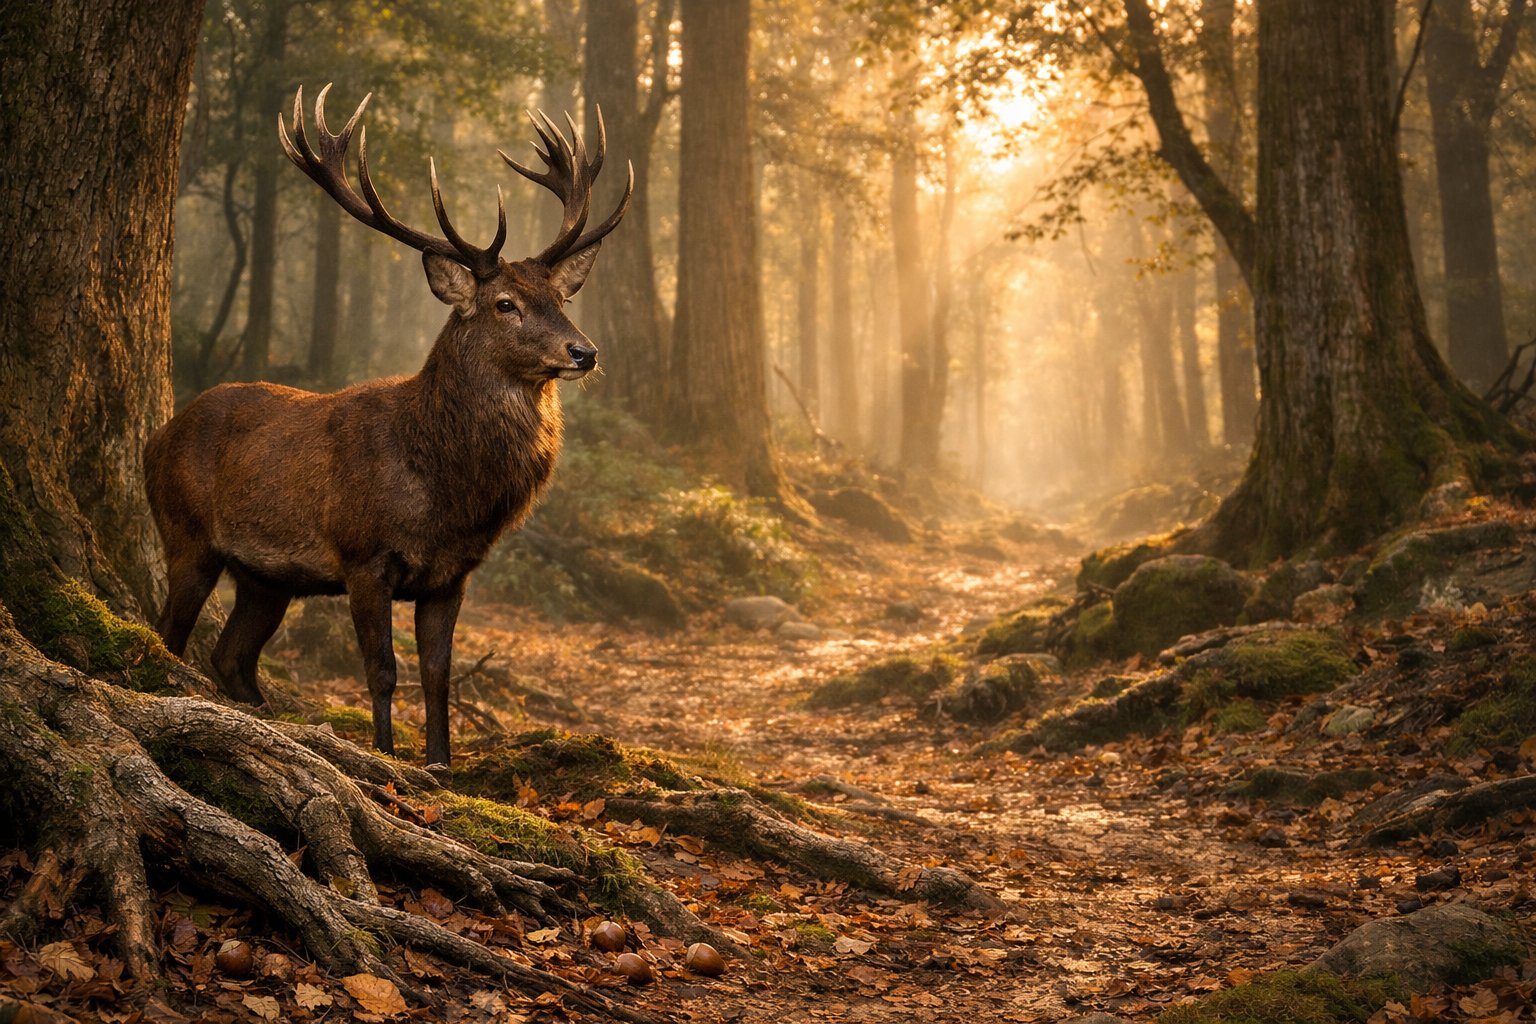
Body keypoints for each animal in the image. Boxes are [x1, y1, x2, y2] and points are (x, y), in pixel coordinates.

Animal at [145, 85, 631, 767]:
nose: (584, 352)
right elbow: (382, 671)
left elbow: (438, 674)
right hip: (186, 534)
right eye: (505, 304)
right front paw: (386, 757)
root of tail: (158, 434)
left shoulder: (451, 574)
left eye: (560, 299)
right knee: (170, 632)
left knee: (230, 654)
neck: (444, 491)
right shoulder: (363, 556)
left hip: (265, 576)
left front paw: (440, 763)